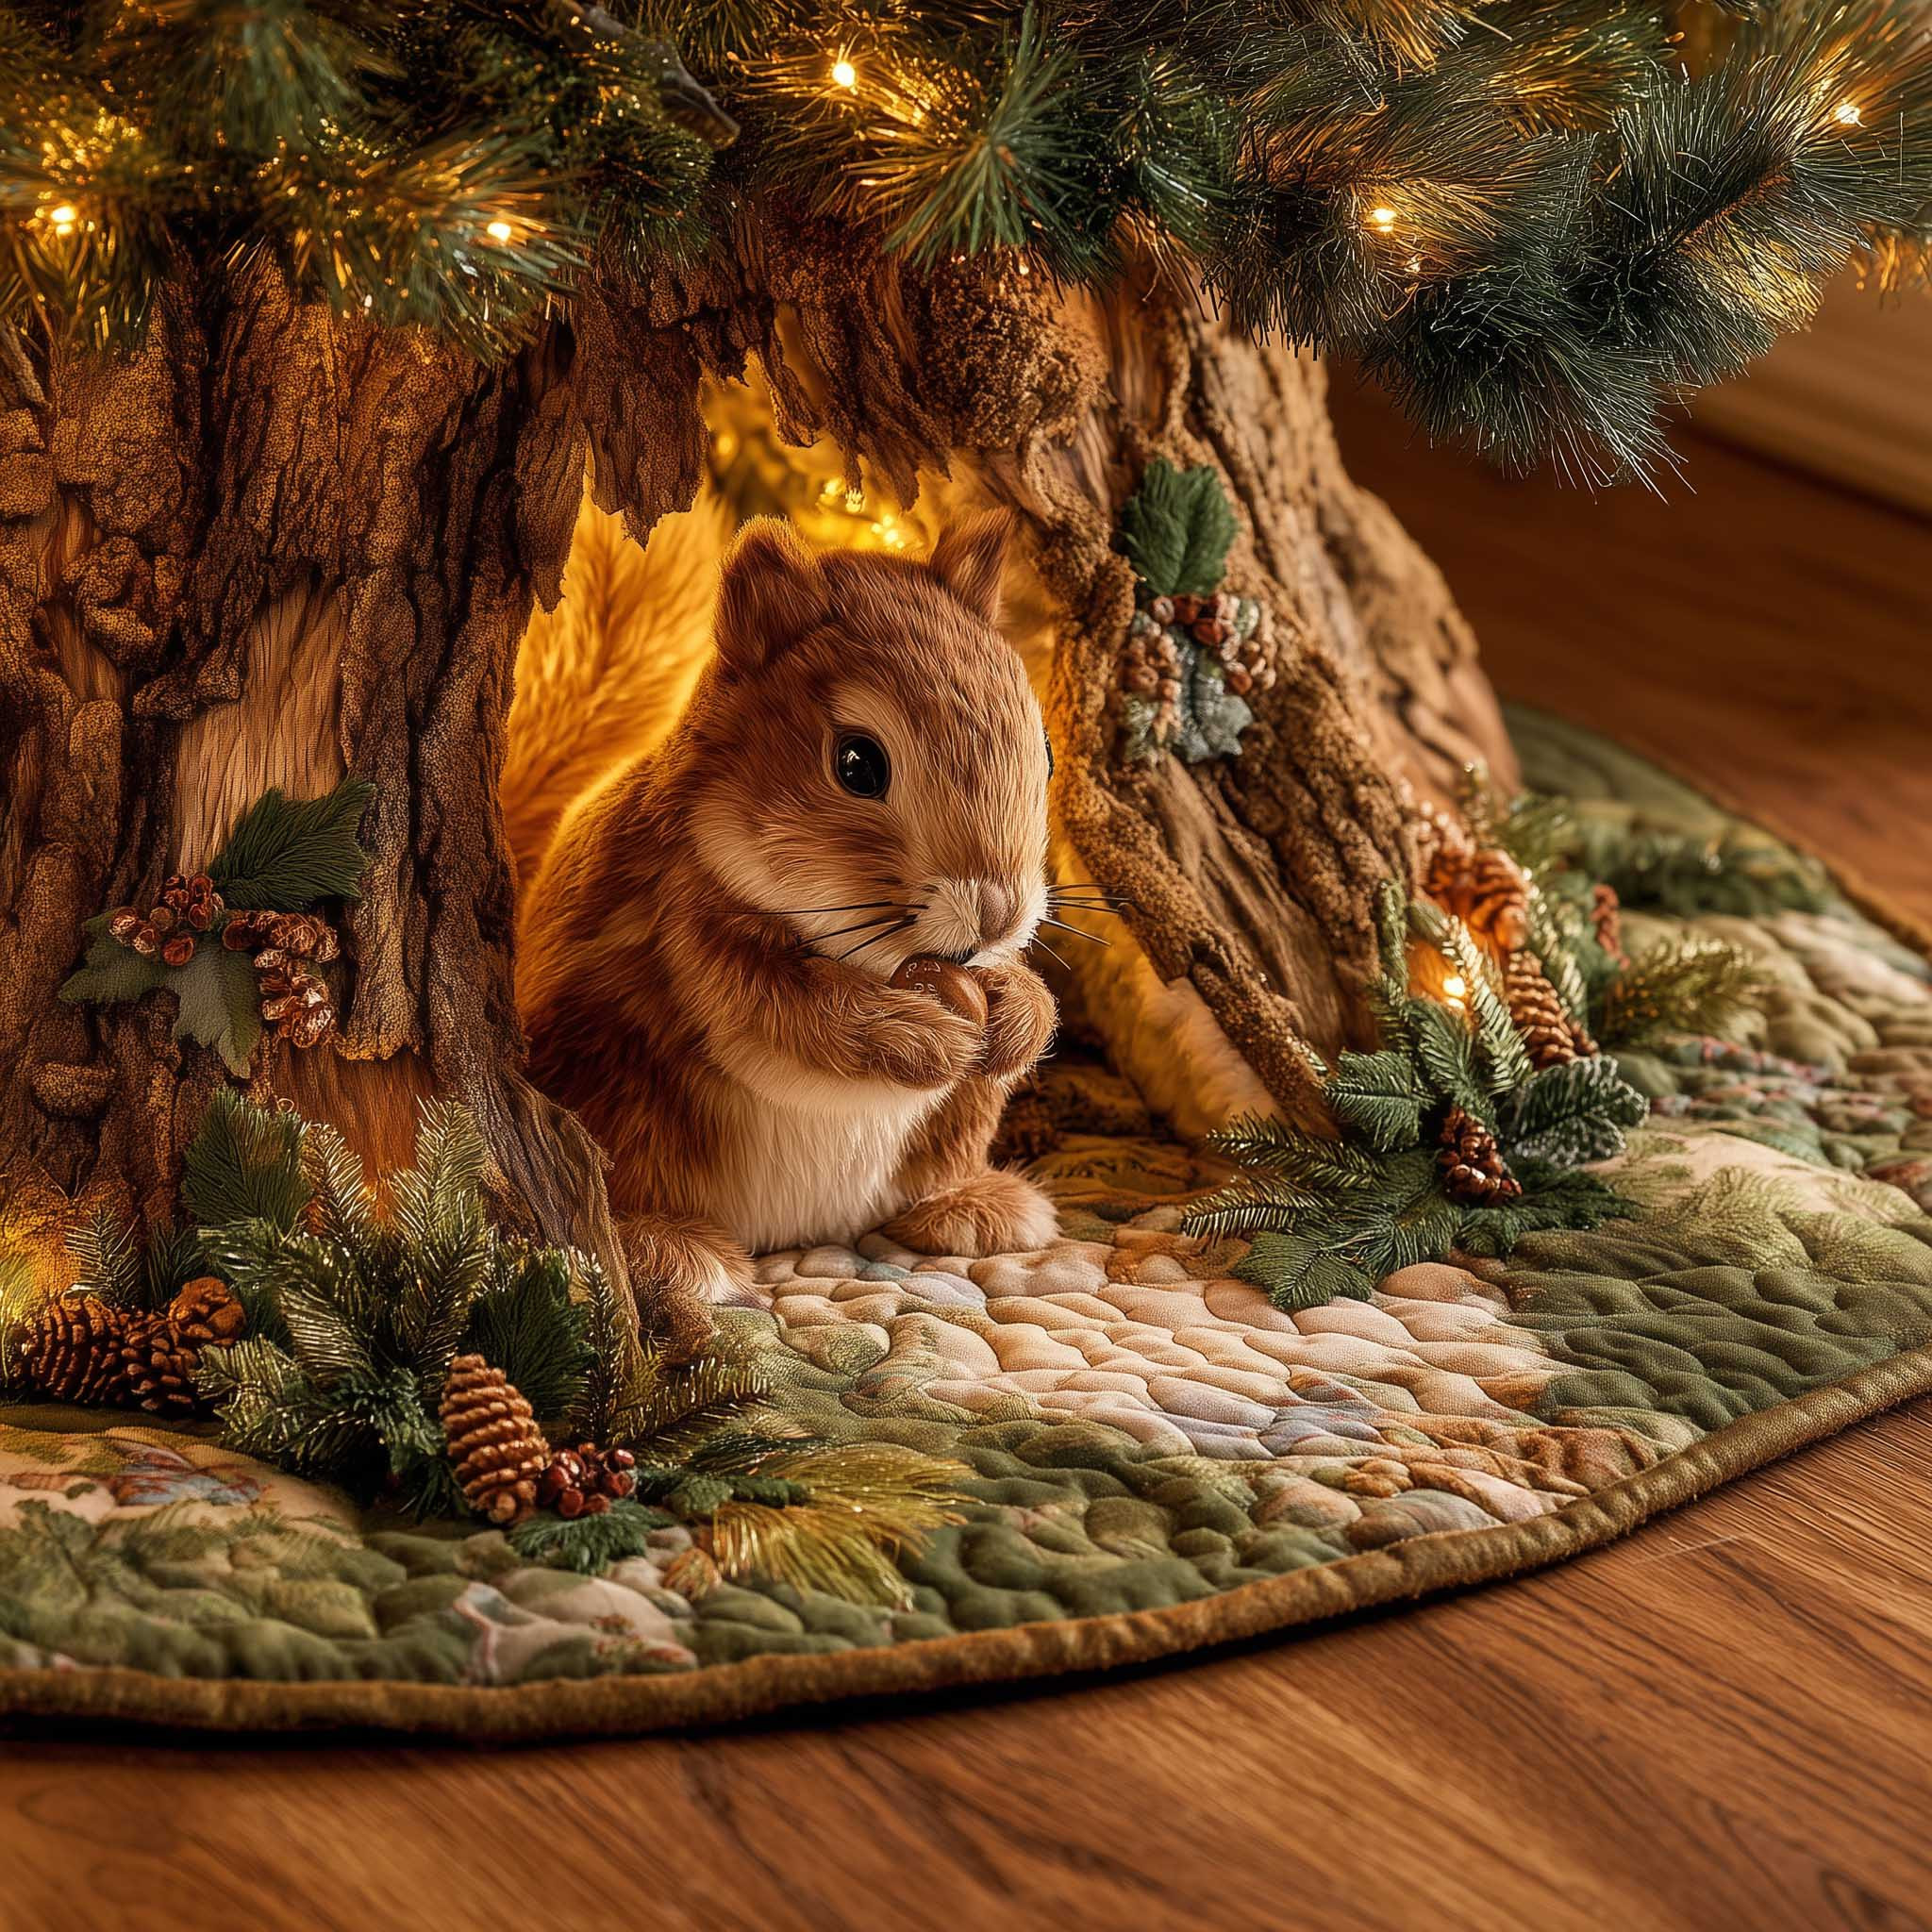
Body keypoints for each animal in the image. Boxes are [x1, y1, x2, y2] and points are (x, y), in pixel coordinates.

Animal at [515, 510, 1059, 1345]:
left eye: (1048, 751)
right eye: (858, 763)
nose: (997, 913)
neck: (866, 956)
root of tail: (800, 1232)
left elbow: (1027, 994)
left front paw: (1016, 1016)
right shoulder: (688, 929)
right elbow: (791, 1013)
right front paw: (923, 1037)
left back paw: (972, 1208)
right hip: (619, 1091)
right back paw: (674, 1250)